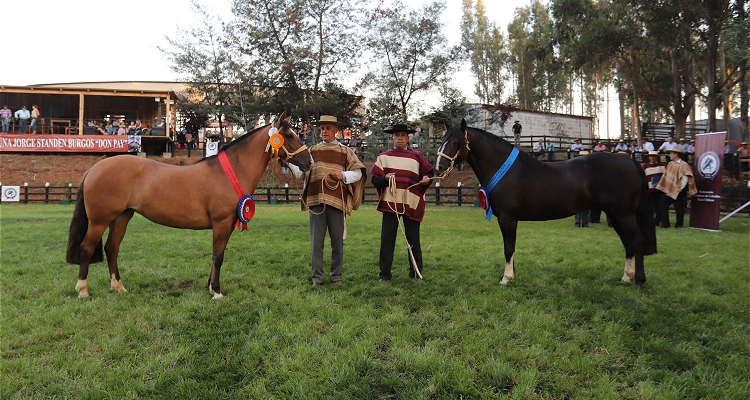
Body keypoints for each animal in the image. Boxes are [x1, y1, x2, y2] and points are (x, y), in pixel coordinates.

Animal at [64, 111, 312, 298]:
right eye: (289, 135)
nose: (308, 162)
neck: (230, 172)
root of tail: (95, 168)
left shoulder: (226, 225)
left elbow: (216, 255)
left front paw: (210, 287)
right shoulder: (222, 223)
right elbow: (218, 256)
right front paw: (217, 292)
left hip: (121, 217)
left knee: (112, 249)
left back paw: (118, 287)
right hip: (99, 221)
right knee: (86, 248)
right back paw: (83, 290)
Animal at [434, 120, 656, 286]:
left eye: (455, 142)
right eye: (442, 140)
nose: (439, 167)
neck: (506, 170)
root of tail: (629, 161)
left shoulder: (507, 218)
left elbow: (508, 247)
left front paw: (506, 278)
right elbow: (511, 248)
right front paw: (512, 275)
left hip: (624, 214)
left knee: (637, 241)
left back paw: (639, 280)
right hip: (615, 214)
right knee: (628, 242)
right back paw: (626, 277)